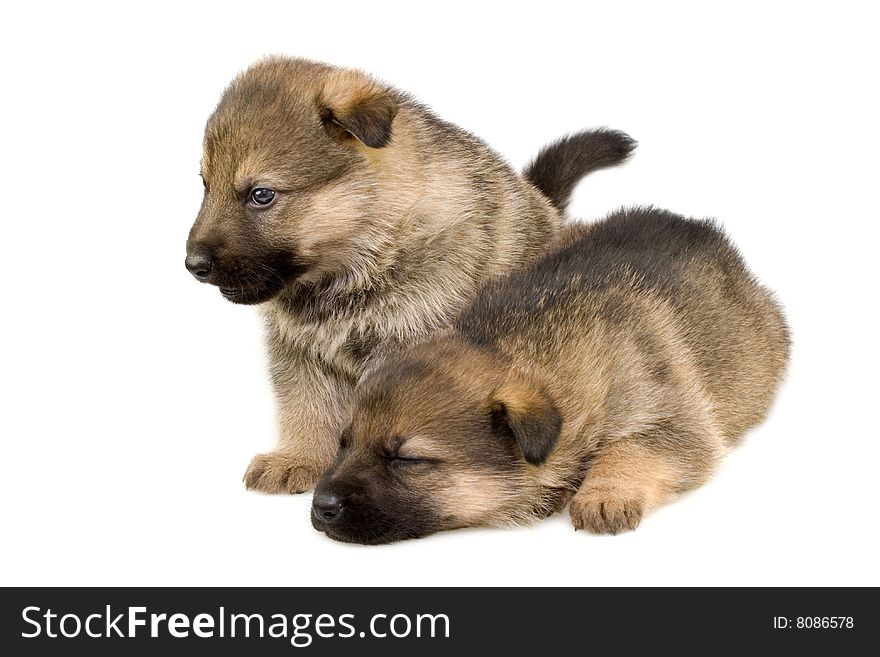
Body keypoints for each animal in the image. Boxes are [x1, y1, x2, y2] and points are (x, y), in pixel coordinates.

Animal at [186, 57, 636, 492]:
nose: (193, 264)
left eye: (261, 195)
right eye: (205, 185)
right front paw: (300, 458)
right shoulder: (300, 353)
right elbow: (306, 407)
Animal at [314, 206, 792, 544]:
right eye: (344, 443)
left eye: (407, 460)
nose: (320, 506)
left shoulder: (674, 417)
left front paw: (604, 495)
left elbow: (633, 448)